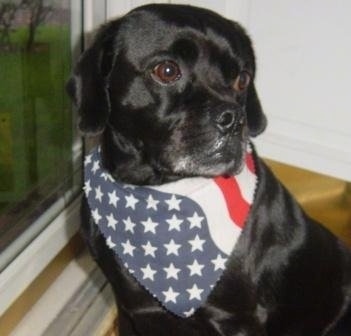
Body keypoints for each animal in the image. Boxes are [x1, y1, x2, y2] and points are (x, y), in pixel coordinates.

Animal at [66, 3, 351, 334]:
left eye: (242, 79)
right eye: (167, 70)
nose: (235, 119)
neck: (155, 191)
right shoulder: (129, 310)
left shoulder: (237, 319)